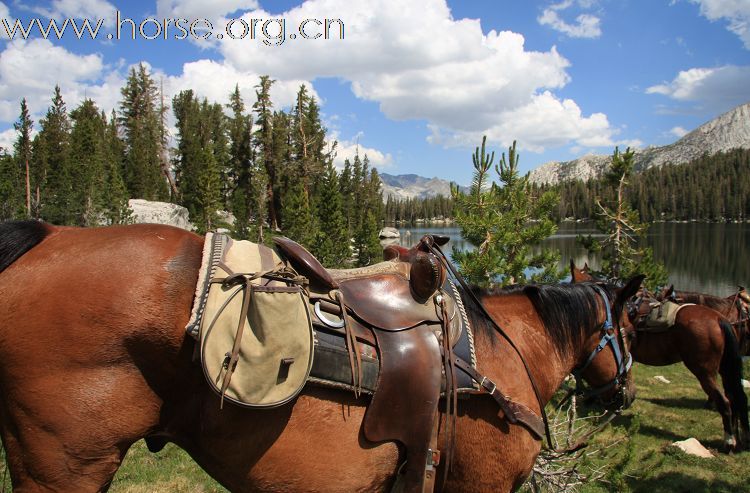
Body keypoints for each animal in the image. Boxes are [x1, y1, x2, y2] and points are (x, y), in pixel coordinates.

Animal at [572, 262, 748, 450]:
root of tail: (718, 319)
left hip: (704, 371)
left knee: (725, 401)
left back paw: (729, 441)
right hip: (723, 369)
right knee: (734, 397)